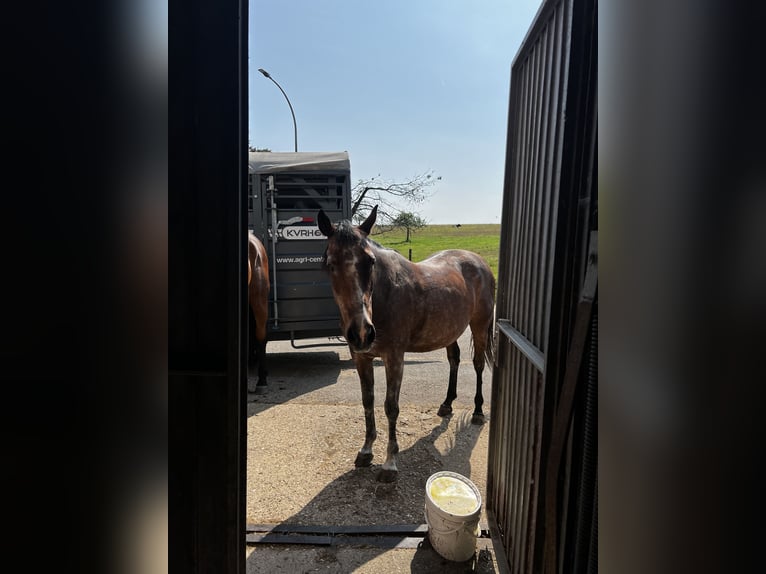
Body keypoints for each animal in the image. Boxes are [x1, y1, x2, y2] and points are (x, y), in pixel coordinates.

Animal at [318, 205, 498, 484]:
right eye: (330, 263)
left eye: (370, 261)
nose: (362, 332)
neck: (383, 296)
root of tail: (479, 262)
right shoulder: (362, 358)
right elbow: (367, 401)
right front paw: (366, 451)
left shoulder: (394, 358)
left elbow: (391, 407)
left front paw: (390, 464)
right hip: (450, 330)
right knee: (454, 359)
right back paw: (447, 404)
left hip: (479, 325)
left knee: (478, 364)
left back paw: (478, 411)